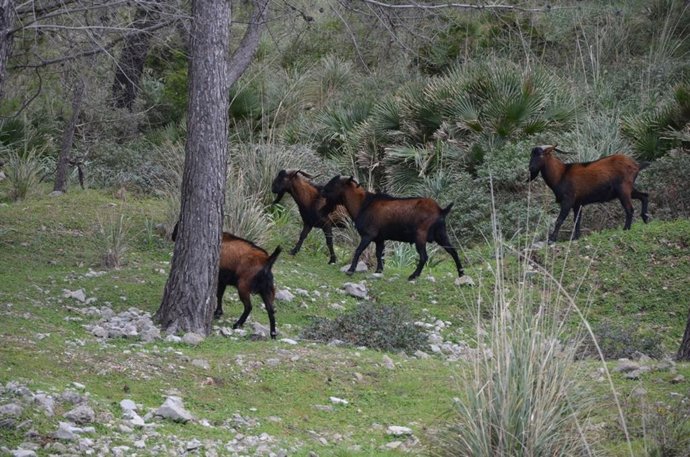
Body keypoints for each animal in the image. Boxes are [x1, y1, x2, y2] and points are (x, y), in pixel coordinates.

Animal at [320, 176, 464, 281]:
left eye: (335, 184)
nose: (322, 191)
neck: (363, 204)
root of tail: (441, 210)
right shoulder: (379, 238)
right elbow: (379, 253)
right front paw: (379, 270)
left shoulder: (369, 234)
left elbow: (358, 250)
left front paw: (350, 270)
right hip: (441, 234)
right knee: (453, 251)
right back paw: (461, 273)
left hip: (420, 235)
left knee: (424, 256)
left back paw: (413, 276)